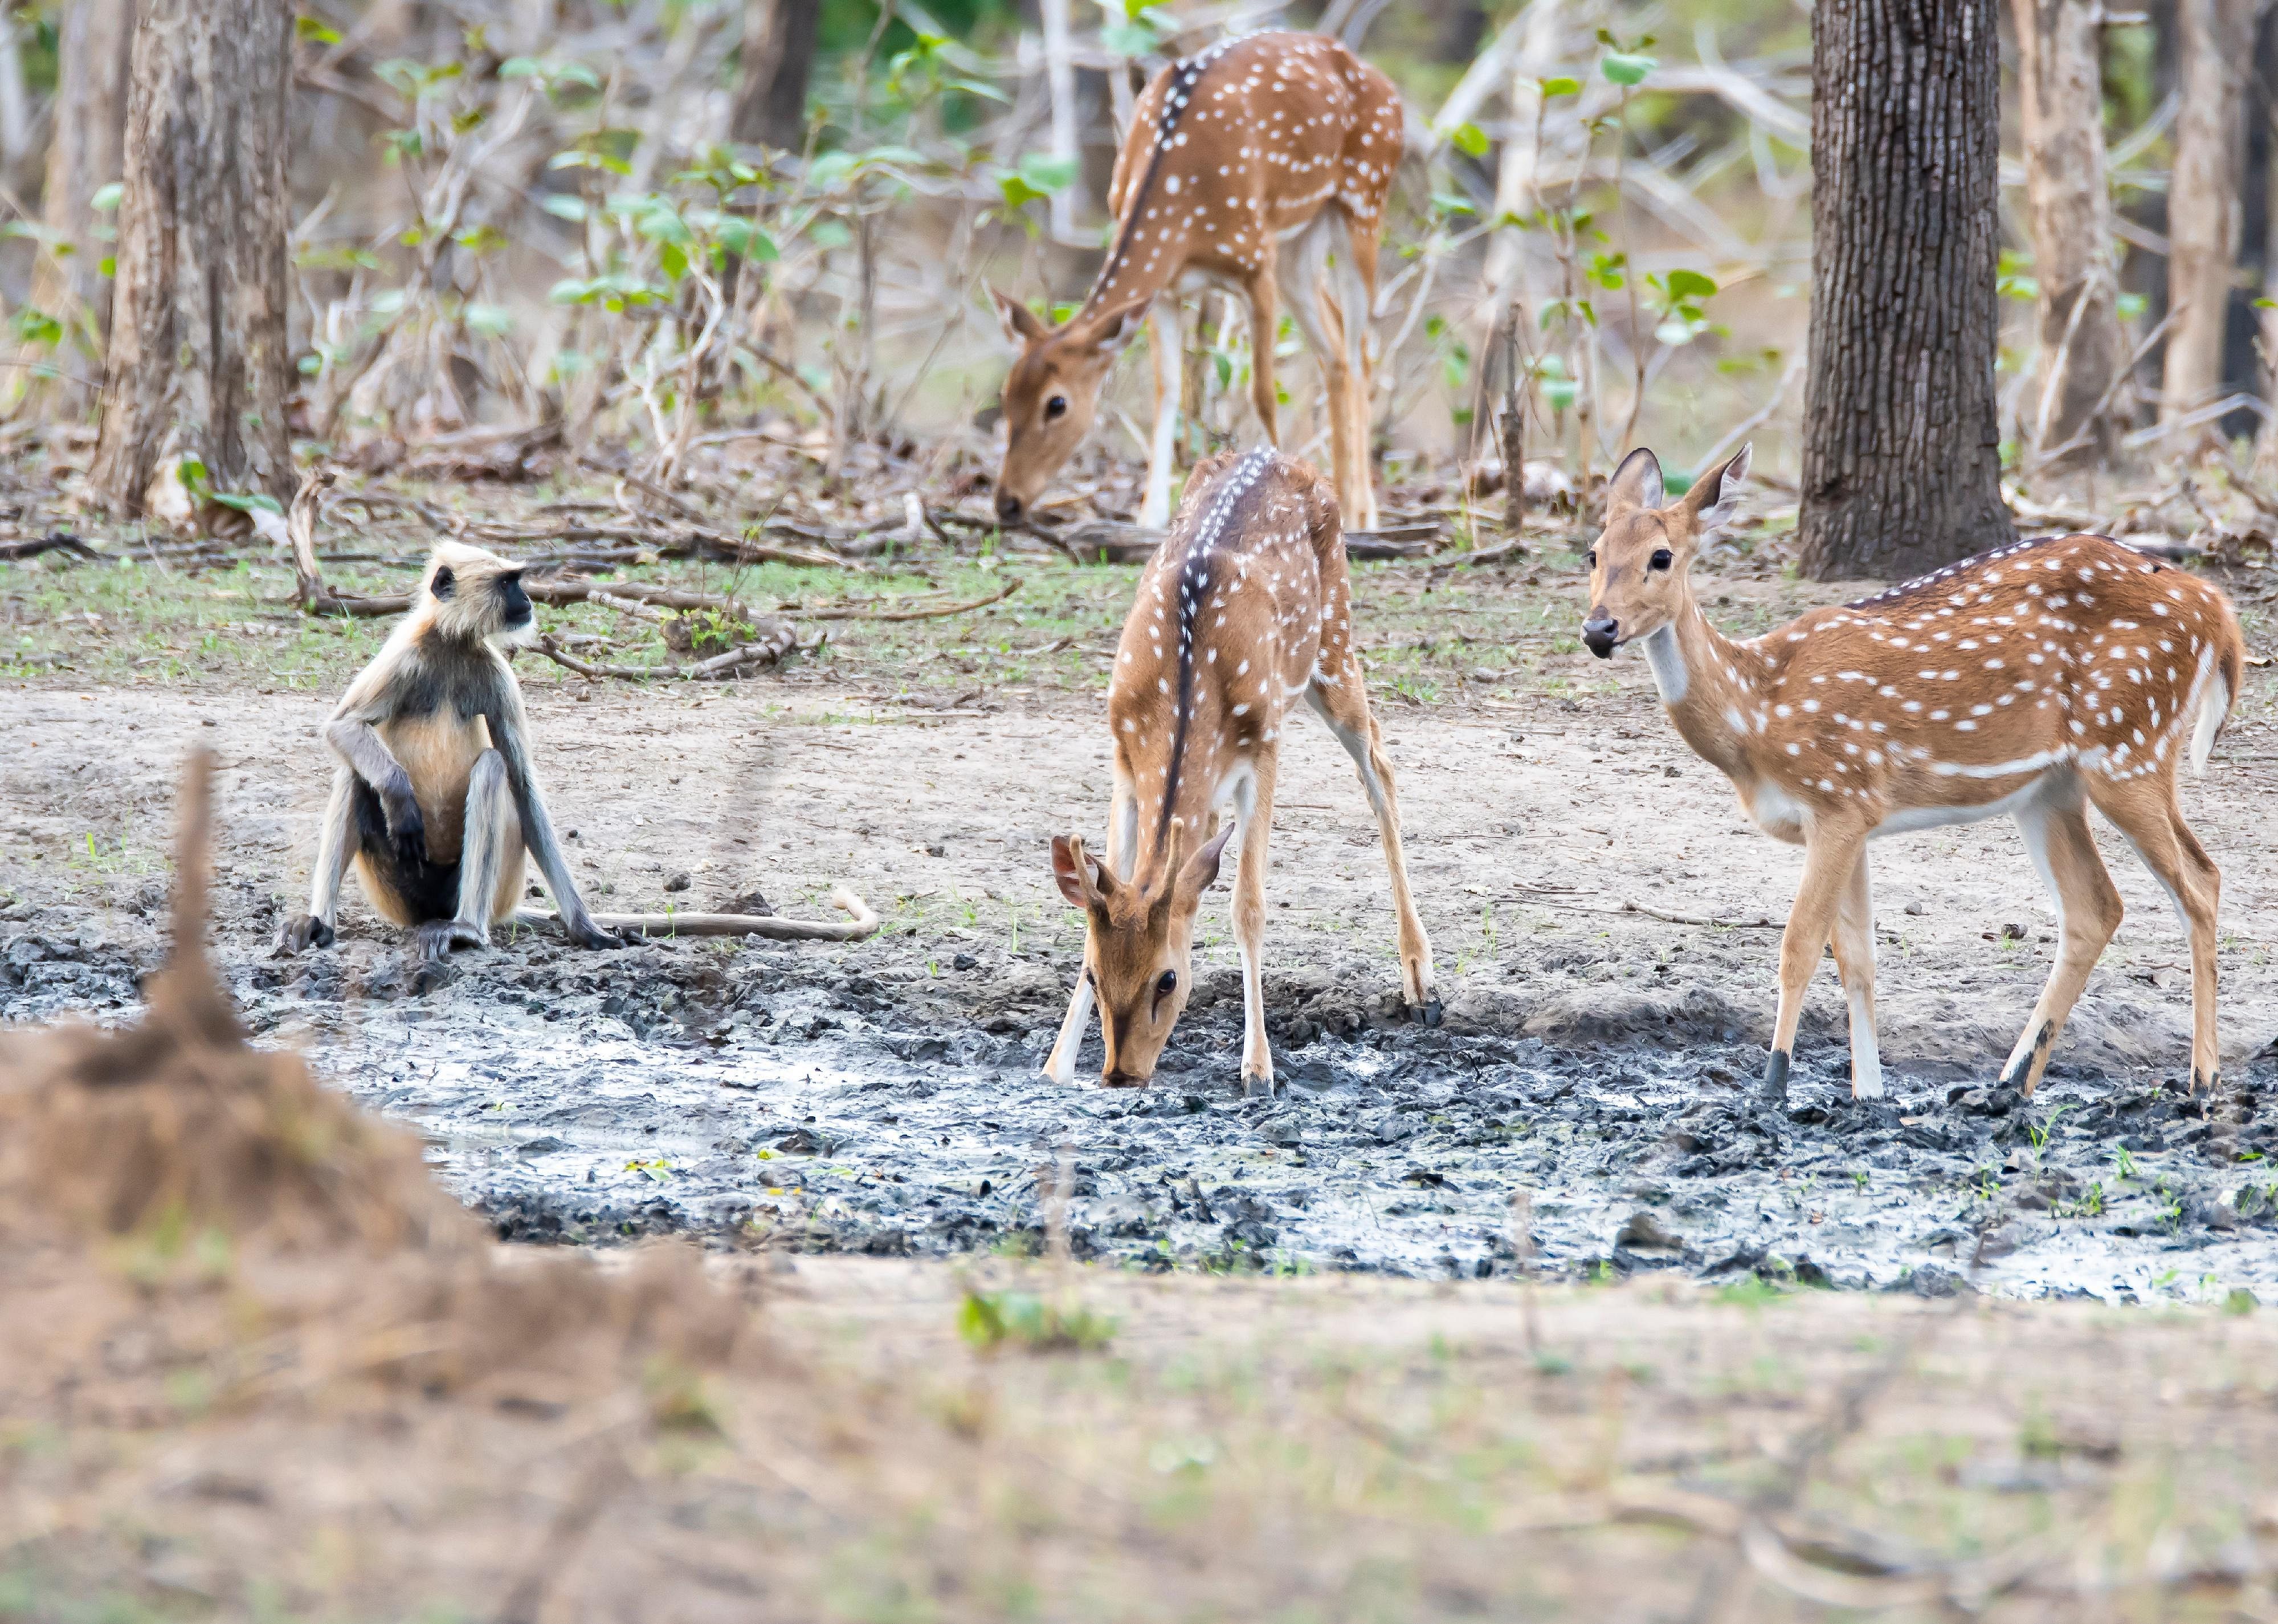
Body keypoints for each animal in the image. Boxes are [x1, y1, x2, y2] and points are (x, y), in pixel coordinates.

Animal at [275, 541, 622, 963]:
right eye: (508, 583)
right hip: (399, 894)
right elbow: (343, 726)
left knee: (491, 766)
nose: (526, 600)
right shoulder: (404, 655)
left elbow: (522, 784)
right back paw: (320, 922)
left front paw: (585, 927)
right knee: (355, 772)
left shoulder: (498, 676)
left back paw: (467, 928)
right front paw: (400, 796)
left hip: (498, 886)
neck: (452, 643)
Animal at [990, 31, 1401, 536]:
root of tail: (1385, 84)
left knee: (1361, 348)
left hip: (1365, 198)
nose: (1007, 502)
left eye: (1057, 404)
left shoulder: (1255, 260)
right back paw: (1341, 501)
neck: (1182, 212)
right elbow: (1167, 390)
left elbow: (1263, 394)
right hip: (1300, 243)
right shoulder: (1163, 292)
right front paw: (1149, 515)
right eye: (1006, 394)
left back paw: (1366, 512)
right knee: (1336, 348)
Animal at [1045, 447, 1437, 1096]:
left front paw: (1258, 1070)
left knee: (1380, 764)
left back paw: (1421, 981)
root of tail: (1277, 455)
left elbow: (1247, 908)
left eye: (1168, 979)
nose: (1121, 1075)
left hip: (1333, 639)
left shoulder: (1264, 747)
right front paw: (1055, 1066)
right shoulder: (1123, 760)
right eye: (1094, 976)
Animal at [1580, 444, 2243, 1103]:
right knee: (2096, 908)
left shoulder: (1837, 798)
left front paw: (1772, 1087)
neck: (1758, 715)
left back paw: (2202, 1080)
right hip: (2053, 787)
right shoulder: (1855, 814)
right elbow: (1857, 957)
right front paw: (1867, 1095)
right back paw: (2007, 1086)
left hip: (2128, 745)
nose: (1598, 629)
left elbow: (1798, 946)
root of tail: (2219, 611)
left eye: (1661, 556)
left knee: (2200, 883)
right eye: (1593, 552)